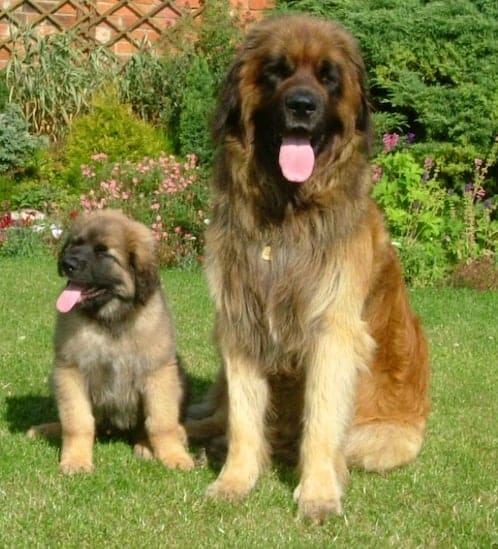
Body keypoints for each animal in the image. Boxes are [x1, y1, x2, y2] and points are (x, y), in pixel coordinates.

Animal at [27, 209, 195, 470]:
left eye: (103, 252)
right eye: (75, 244)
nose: (67, 264)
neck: (110, 319)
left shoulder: (158, 371)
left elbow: (161, 421)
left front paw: (174, 455)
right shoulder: (71, 370)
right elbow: (77, 421)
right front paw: (76, 459)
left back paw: (146, 445)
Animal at [187, 16, 428, 524]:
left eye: (328, 77)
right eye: (277, 71)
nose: (302, 105)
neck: (286, 216)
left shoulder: (333, 330)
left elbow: (319, 422)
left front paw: (318, 494)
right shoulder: (240, 325)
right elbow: (244, 421)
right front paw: (234, 482)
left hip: (385, 441)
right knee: (216, 418)